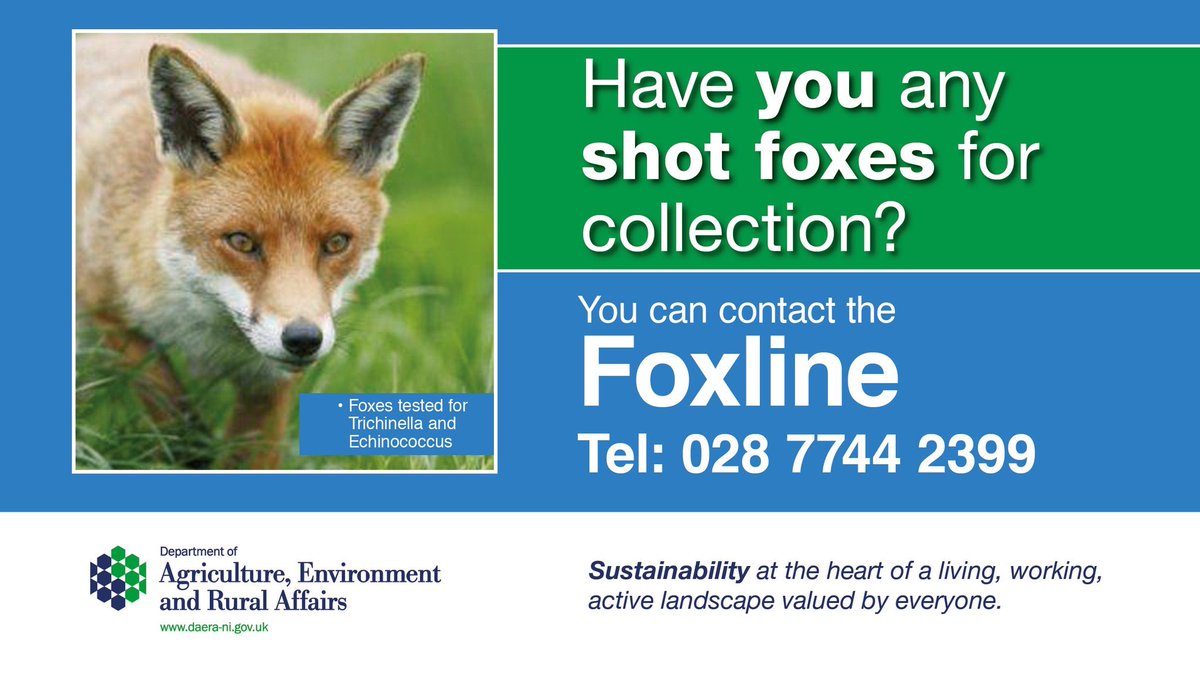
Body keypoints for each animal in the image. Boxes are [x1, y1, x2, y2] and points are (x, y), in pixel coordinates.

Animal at [75, 35, 424, 469]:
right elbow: (172, 411)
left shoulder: (270, 381)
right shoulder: (105, 306)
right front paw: (190, 454)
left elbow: (251, 454)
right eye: (241, 241)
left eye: (336, 243)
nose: (303, 339)